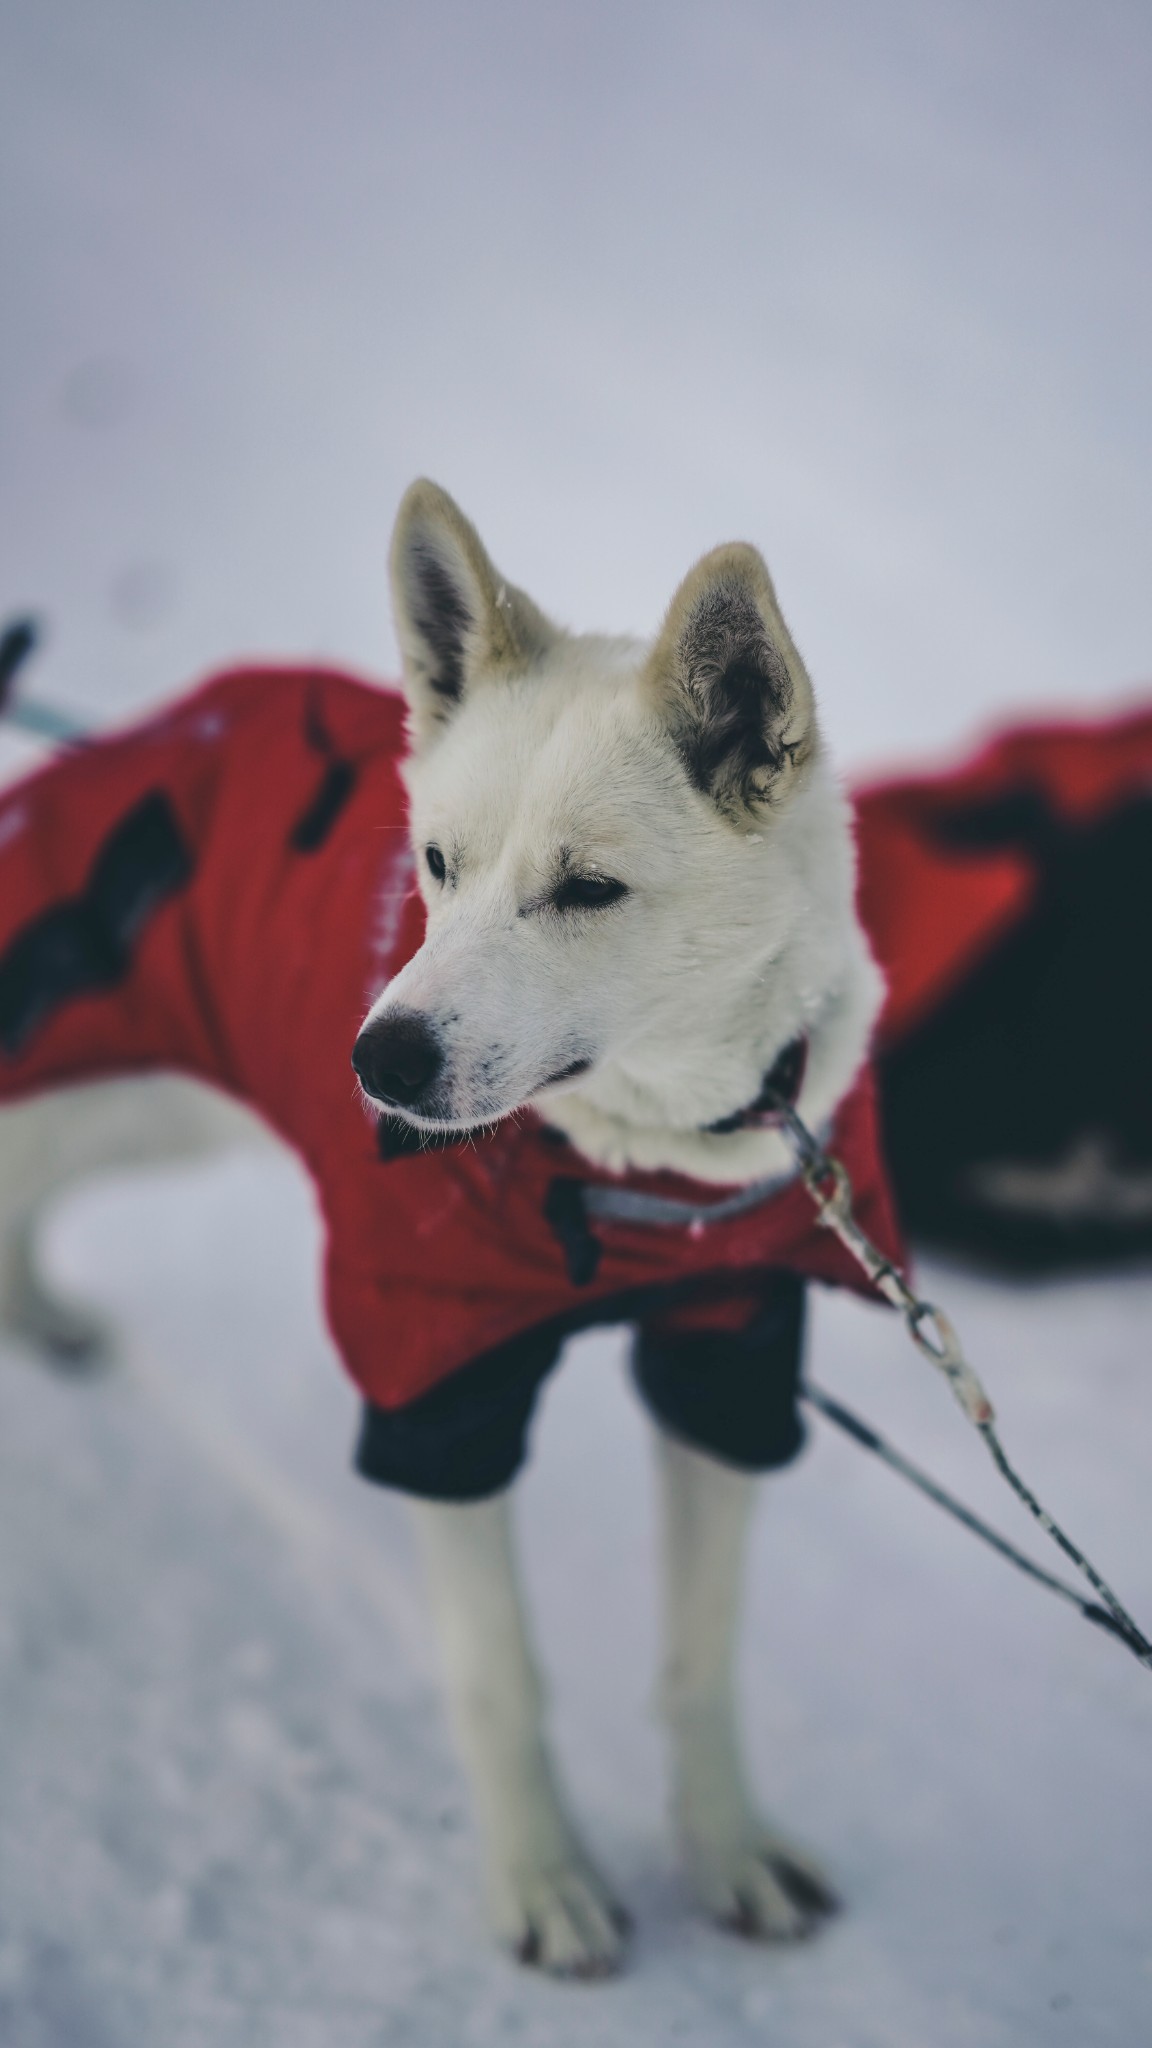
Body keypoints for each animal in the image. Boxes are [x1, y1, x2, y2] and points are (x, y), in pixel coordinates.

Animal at [0, 483, 877, 1982]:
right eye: (437, 866)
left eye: (586, 889)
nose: (380, 1058)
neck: (644, 1172)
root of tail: (156, 727)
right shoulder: (436, 1385)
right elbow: (497, 1673)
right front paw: (542, 1877)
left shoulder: (728, 1355)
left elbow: (701, 1660)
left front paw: (725, 1845)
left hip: (157, 1100)